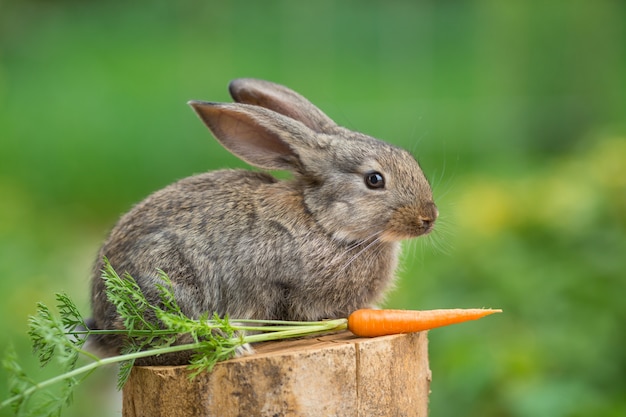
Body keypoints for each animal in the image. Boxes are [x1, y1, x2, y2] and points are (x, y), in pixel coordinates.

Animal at [90, 78, 436, 364]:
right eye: (374, 180)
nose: (428, 218)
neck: (323, 222)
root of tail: (103, 325)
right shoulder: (282, 285)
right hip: (166, 284)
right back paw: (231, 344)